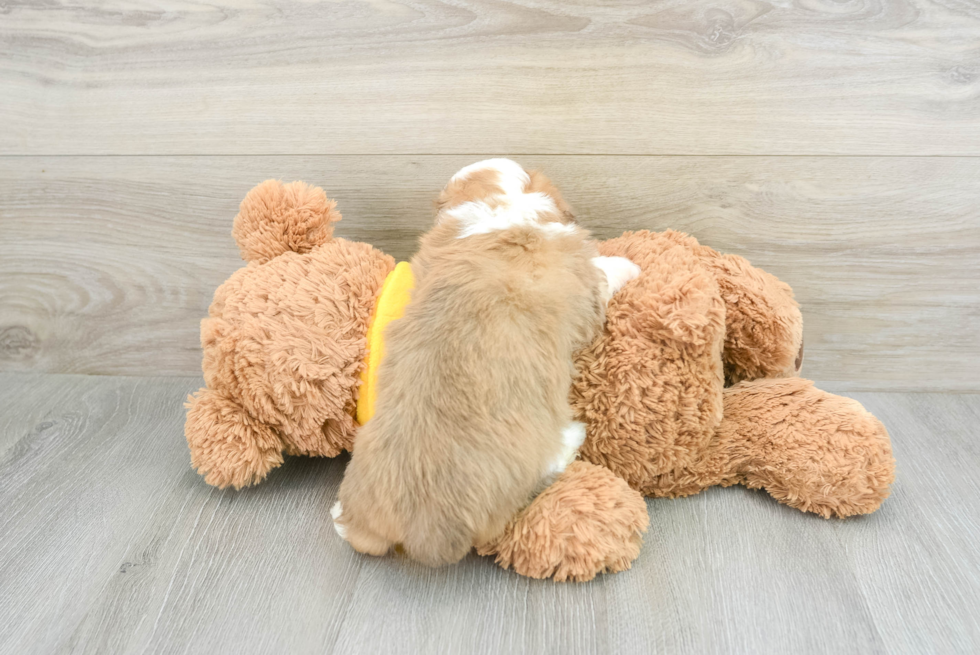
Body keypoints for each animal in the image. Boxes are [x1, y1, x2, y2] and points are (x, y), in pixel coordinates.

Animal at [334, 160, 644, 568]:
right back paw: (572, 440)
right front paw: (631, 264)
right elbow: (607, 269)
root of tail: (422, 526)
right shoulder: (587, 284)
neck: (500, 206)